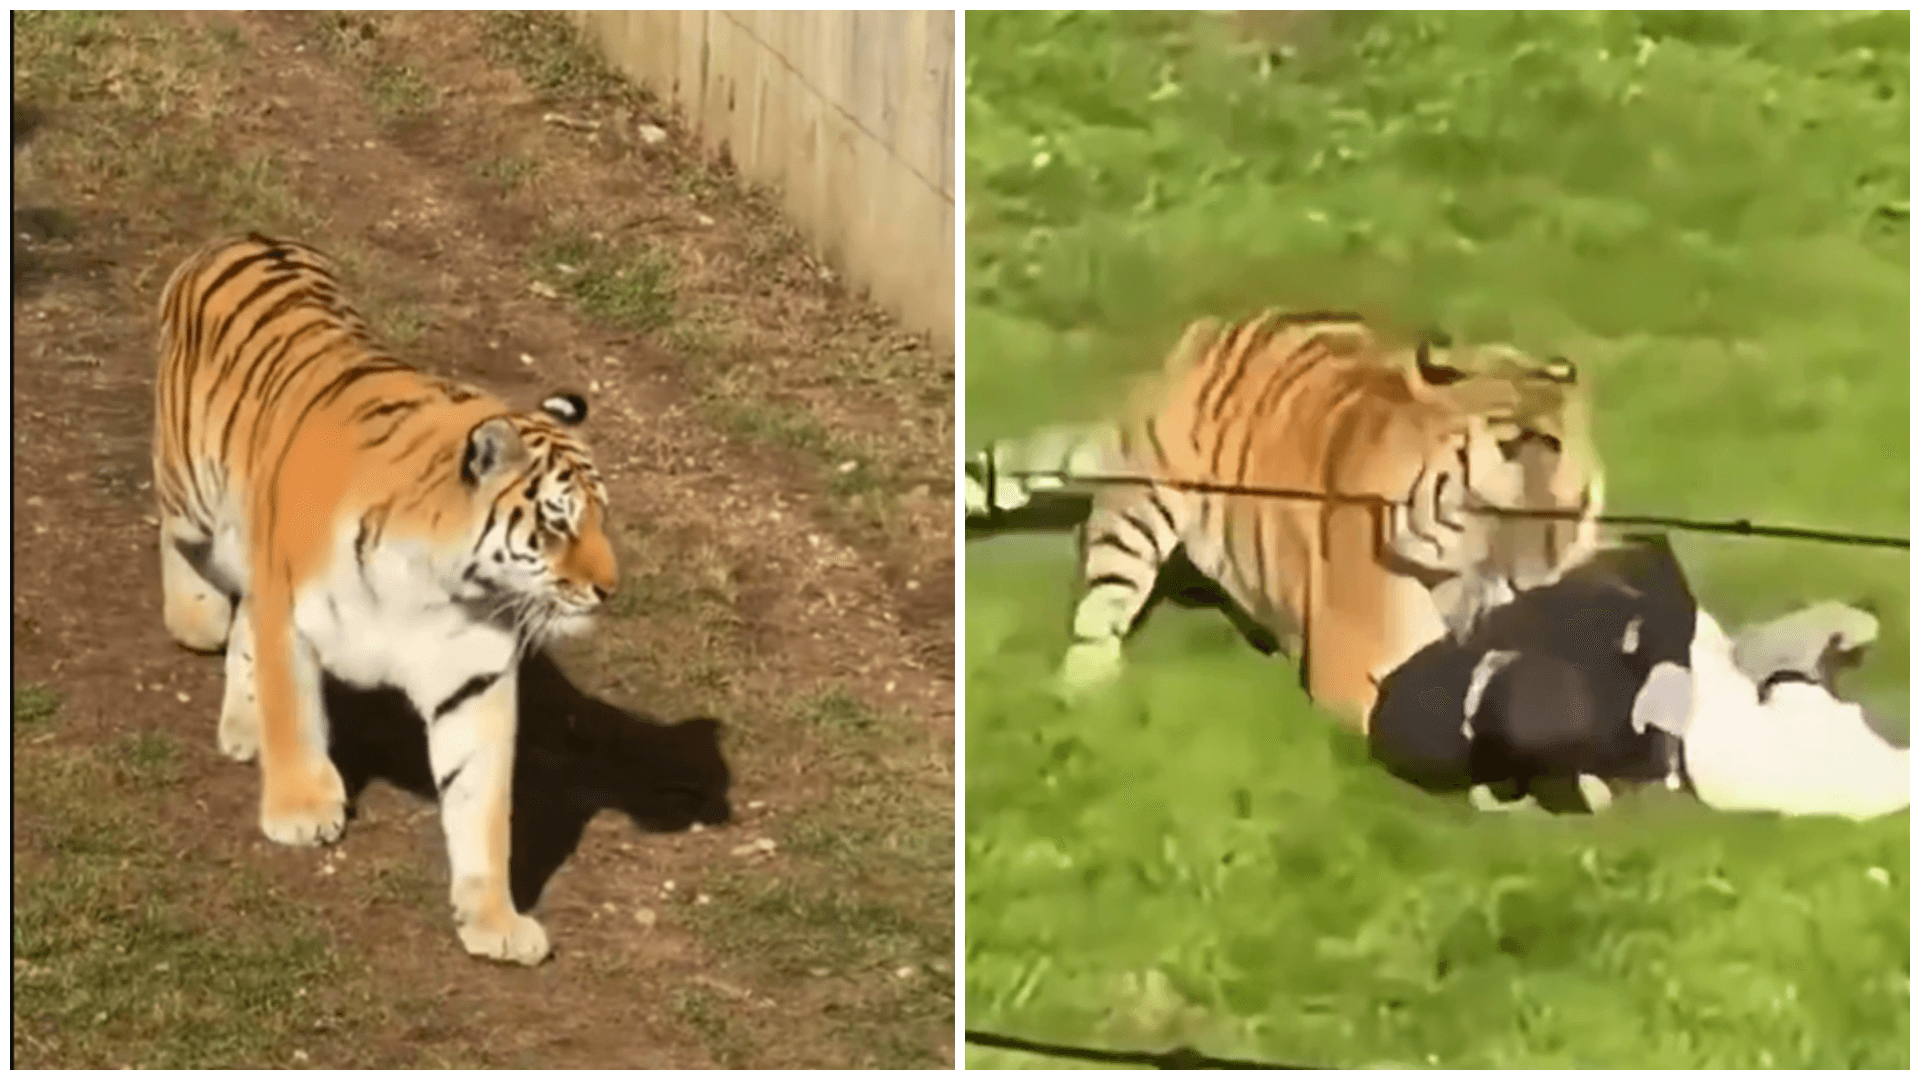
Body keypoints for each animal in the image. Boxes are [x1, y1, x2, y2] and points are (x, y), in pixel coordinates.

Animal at [153, 233, 618, 966]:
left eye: (600, 520)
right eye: (558, 524)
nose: (608, 587)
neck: (439, 580)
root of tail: (246, 236)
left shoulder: (473, 680)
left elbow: (482, 804)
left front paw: (494, 919)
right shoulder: (289, 611)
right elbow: (295, 714)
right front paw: (301, 810)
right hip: (192, 490)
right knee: (177, 538)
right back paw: (195, 617)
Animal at [964, 309, 1603, 732]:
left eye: (1568, 517)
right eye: (1494, 509)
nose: (1533, 583)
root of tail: (1205, 332)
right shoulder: (1360, 668)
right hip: (1139, 511)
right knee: (1100, 611)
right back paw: (1084, 690)